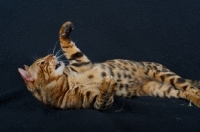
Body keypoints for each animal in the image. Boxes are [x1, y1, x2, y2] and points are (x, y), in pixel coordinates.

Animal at [18, 21, 200, 110]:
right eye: (42, 62)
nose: (50, 55)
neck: (67, 82)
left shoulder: (80, 62)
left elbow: (67, 45)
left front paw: (65, 29)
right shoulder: (92, 102)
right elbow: (103, 100)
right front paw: (107, 85)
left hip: (161, 74)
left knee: (189, 87)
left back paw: (197, 97)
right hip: (158, 89)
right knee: (182, 92)